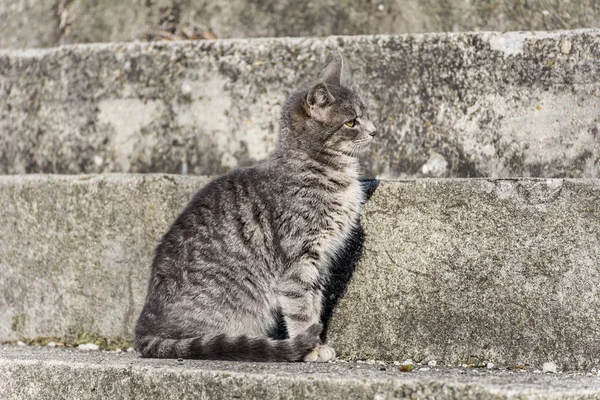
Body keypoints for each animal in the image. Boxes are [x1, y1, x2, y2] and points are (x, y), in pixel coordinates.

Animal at [135, 54, 376, 364]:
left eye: (365, 116)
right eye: (351, 122)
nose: (375, 131)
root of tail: (143, 329)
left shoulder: (320, 262)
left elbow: (314, 303)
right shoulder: (298, 264)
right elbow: (301, 310)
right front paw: (310, 347)